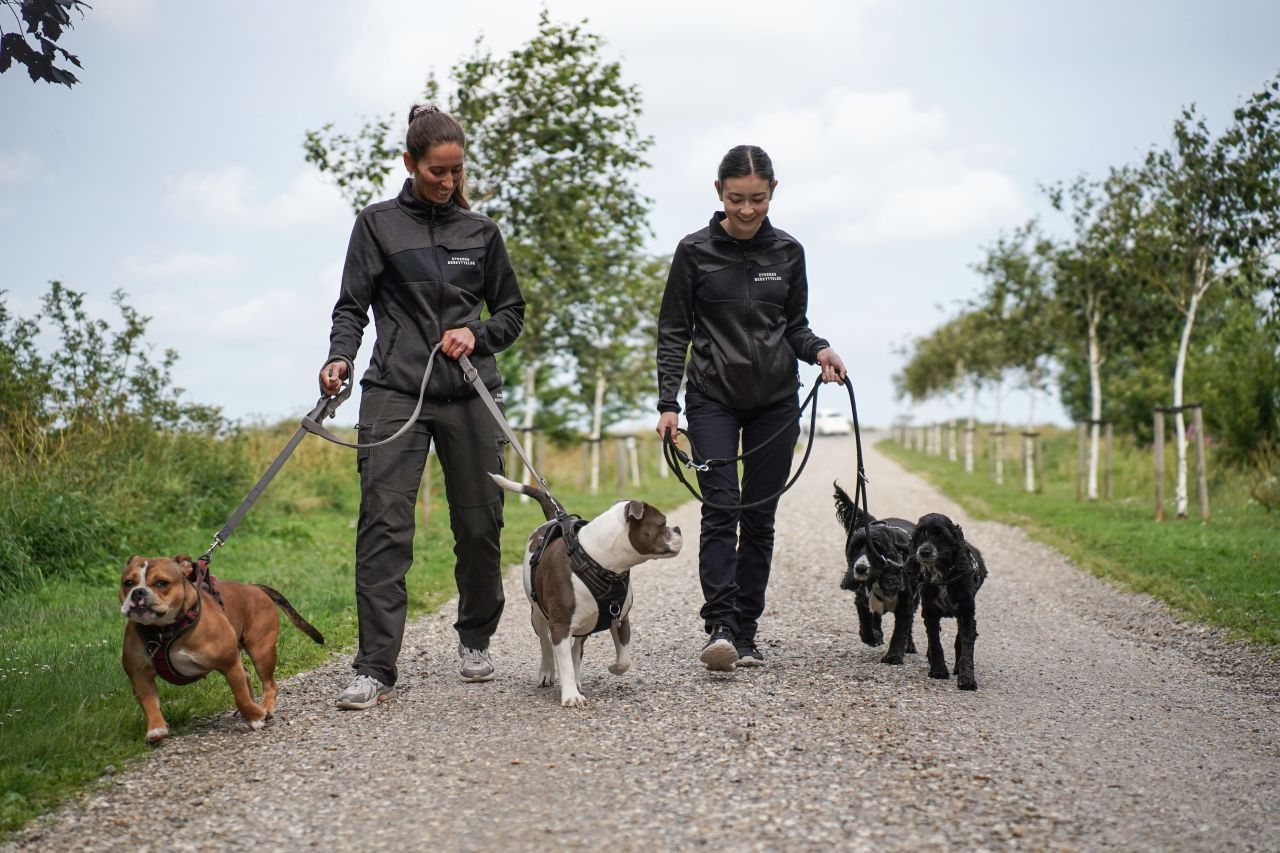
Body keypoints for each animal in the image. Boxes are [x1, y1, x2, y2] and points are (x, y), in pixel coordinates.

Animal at [119, 555, 325, 742]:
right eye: (128, 583)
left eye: (161, 583)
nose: (138, 592)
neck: (166, 631)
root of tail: (253, 587)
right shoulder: (140, 676)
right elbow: (149, 704)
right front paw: (156, 729)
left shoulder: (229, 664)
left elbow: (240, 695)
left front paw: (255, 718)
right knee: (248, 675)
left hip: (261, 651)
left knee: (269, 684)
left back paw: (264, 709)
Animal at [483, 471, 680, 701]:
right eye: (663, 523)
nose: (678, 528)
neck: (596, 559)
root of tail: (554, 518)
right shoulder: (560, 625)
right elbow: (563, 661)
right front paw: (570, 696)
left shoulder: (620, 618)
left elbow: (624, 659)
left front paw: (612, 668)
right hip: (538, 615)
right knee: (546, 643)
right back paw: (547, 672)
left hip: (586, 621)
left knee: (576, 650)